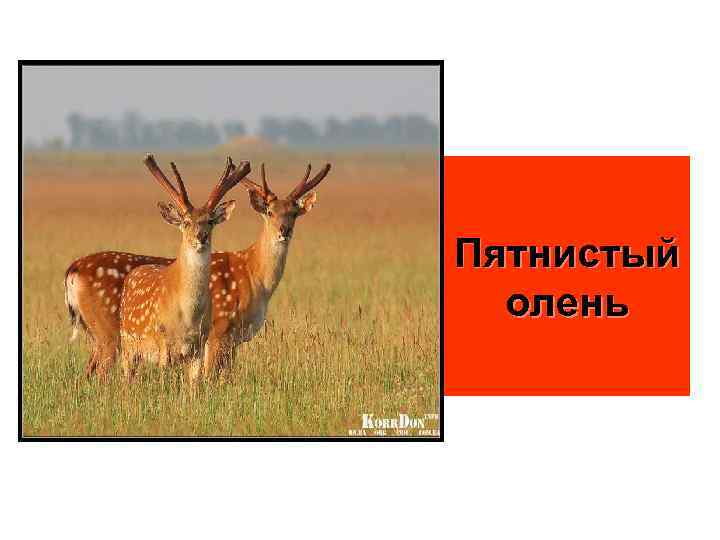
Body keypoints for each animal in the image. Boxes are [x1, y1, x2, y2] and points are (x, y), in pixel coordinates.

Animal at [64, 161, 331, 379]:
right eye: (269, 211)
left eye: (294, 213)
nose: (284, 231)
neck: (253, 279)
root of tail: (73, 270)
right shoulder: (219, 331)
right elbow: (210, 377)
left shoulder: (233, 341)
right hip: (108, 332)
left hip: (95, 332)